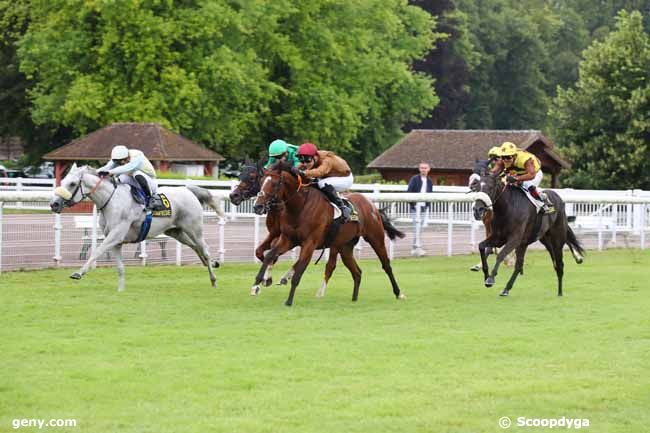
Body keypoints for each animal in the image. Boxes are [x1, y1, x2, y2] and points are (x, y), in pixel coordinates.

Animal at [49, 164, 224, 292]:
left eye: (72, 184)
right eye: (62, 182)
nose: (54, 204)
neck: (111, 200)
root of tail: (188, 189)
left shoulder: (115, 235)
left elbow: (97, 251)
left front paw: (78, 273)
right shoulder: (116, 241)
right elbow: (120, 267)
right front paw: (120, 291)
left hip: (194, 229)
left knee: (205, 249)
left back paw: (214, 279)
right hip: (176, 232)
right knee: (196, 247)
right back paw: (212, 263)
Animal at [251, 160, 402, 306]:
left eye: (274, 184)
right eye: (261, 181)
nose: (257, 206)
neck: (300, 207)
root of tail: (372, 206)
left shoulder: (309, 243)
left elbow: (299, 271)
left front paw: (288, 301)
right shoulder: (288, 239)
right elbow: (270, 255)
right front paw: (256, 285)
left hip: (375, 238)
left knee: (386, 265)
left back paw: (399, 293)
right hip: (345, 246)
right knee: (357, 272)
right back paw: (354, 299)